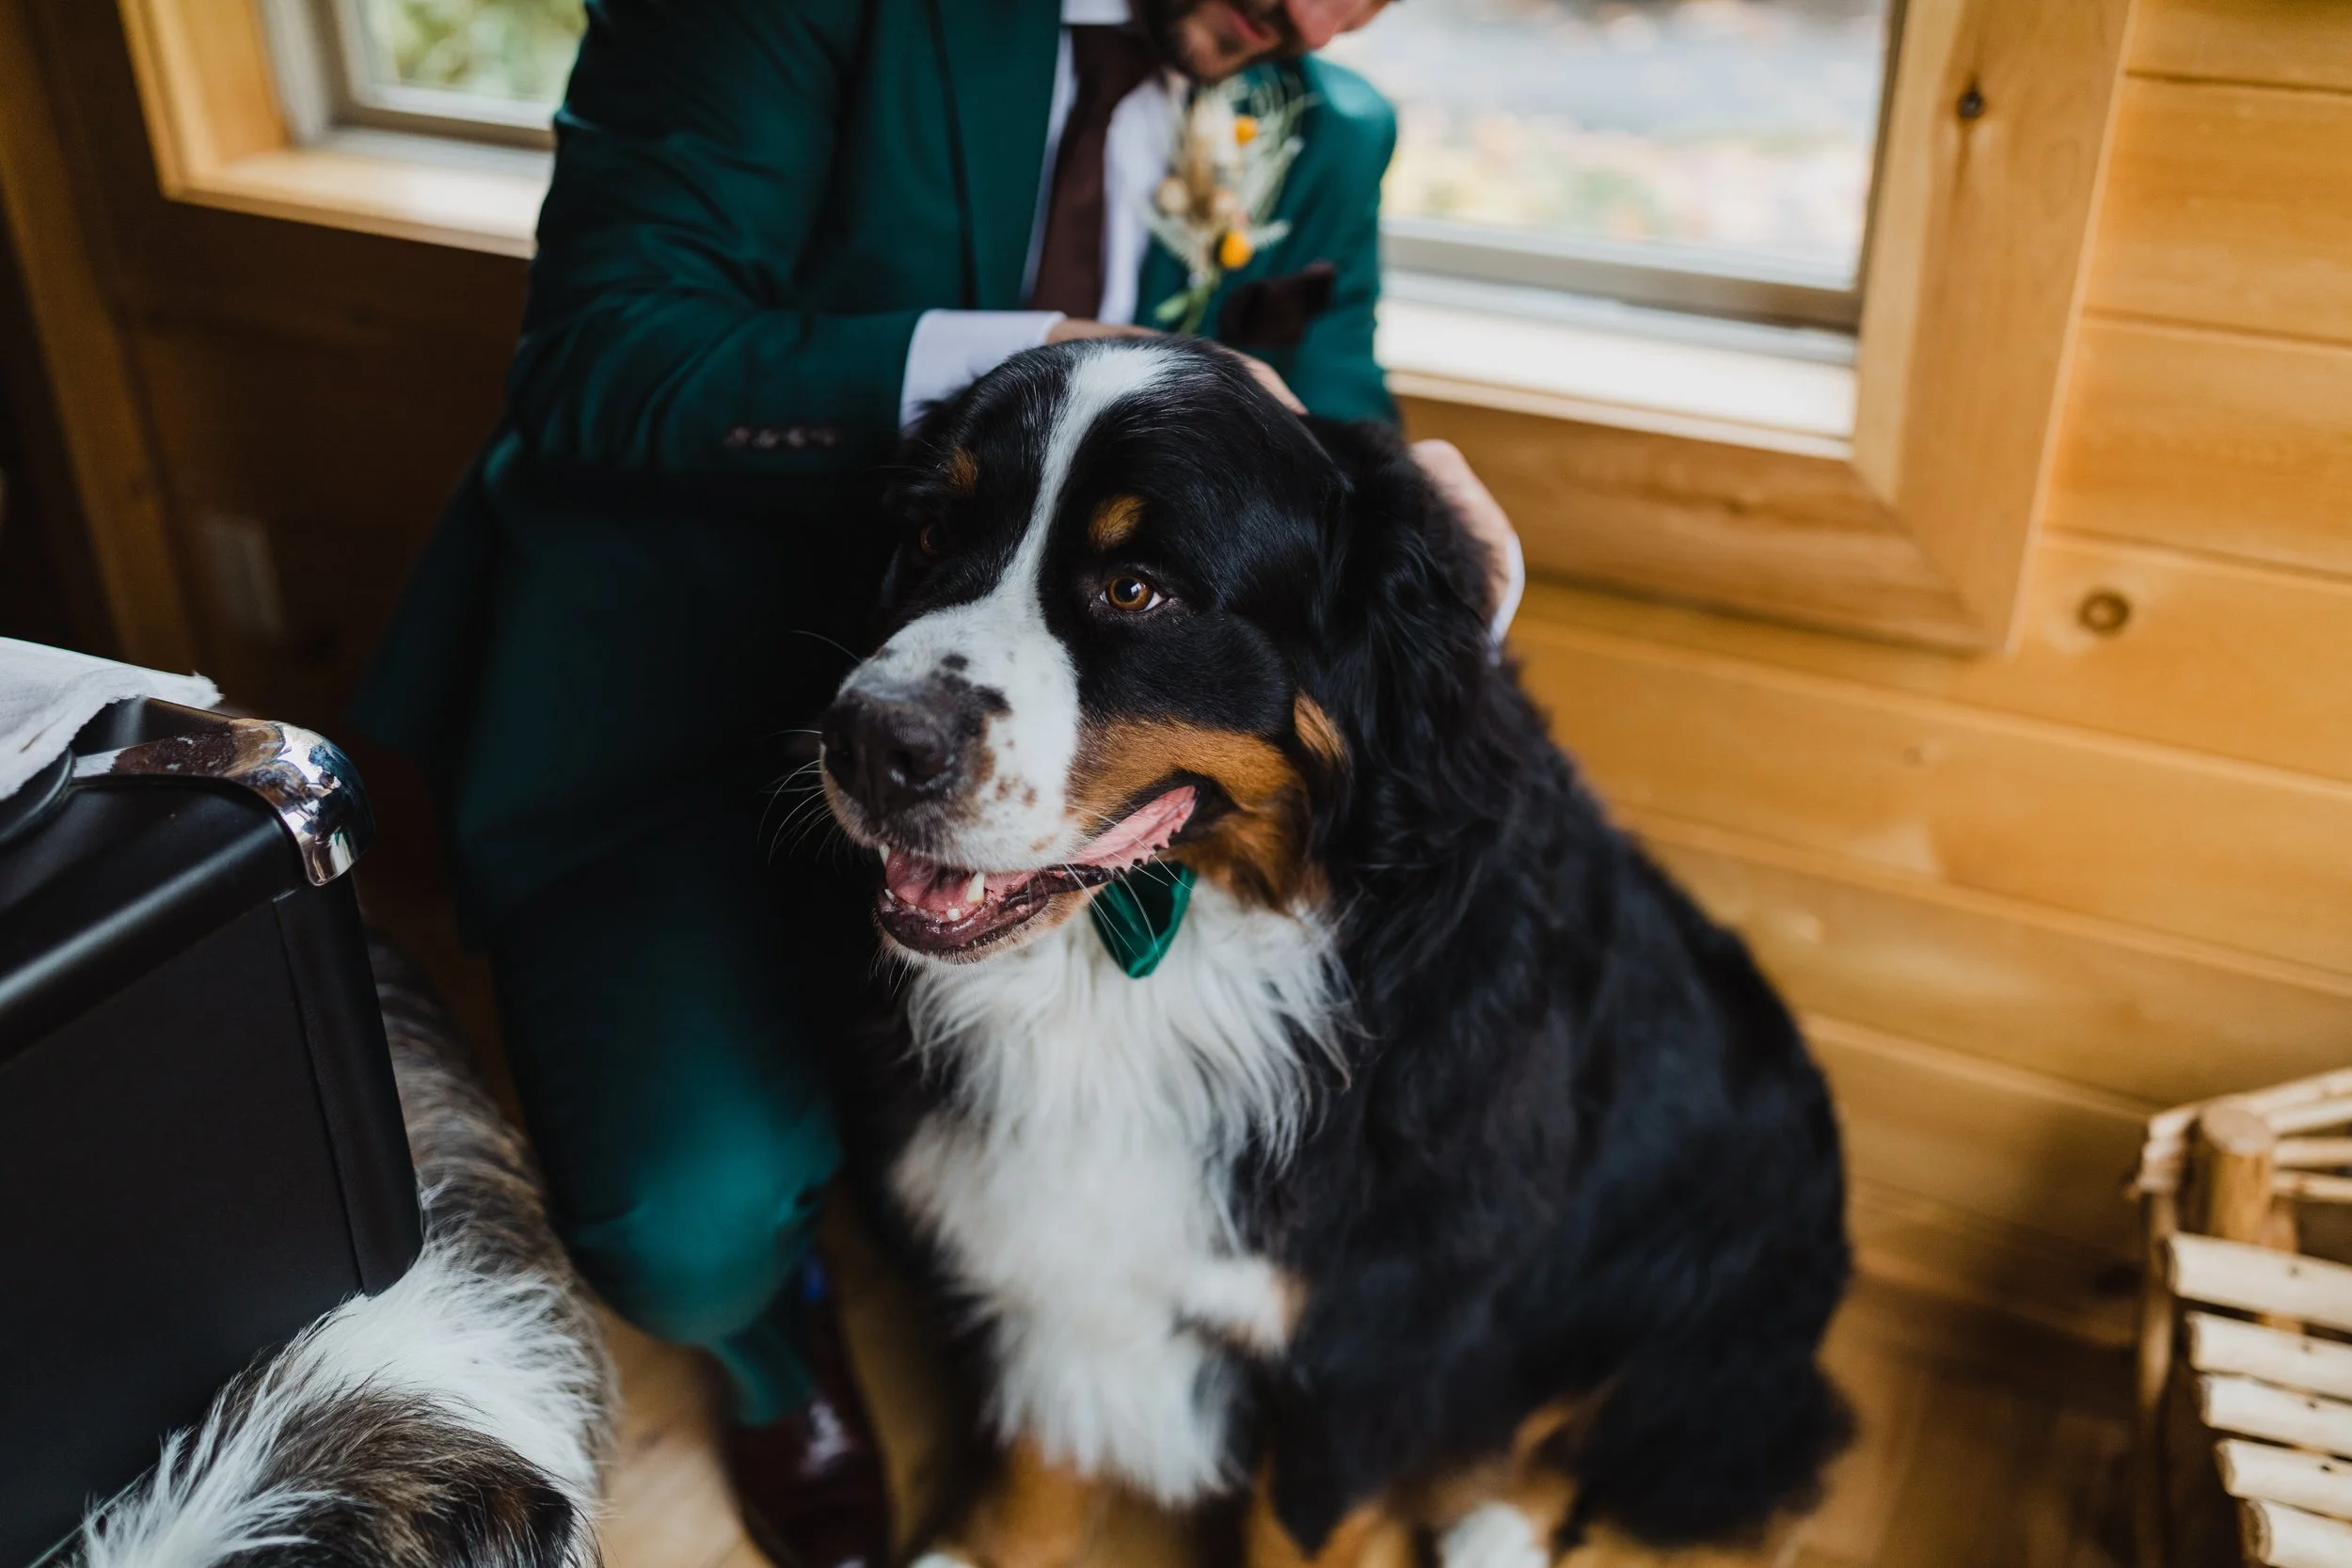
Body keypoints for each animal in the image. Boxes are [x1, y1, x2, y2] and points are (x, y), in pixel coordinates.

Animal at [820, 338, 1852, 1568]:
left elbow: (1301, 1521)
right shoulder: (1047, 1242)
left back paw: (1497, 1529)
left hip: (1699, 1257)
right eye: (932, 535)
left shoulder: (1367, 1340)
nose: (868, 740)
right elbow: (1039, 1455)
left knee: (1603, 1422)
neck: (1154, 959)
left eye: (1136, 589)